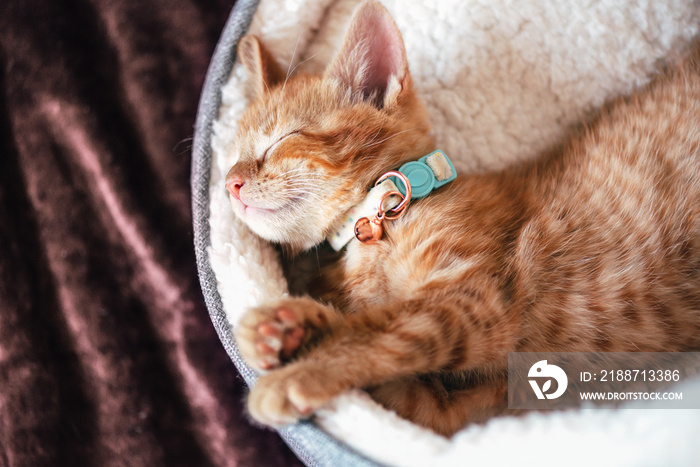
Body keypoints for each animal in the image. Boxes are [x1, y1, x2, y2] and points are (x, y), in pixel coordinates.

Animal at [223, 1, 700, 436]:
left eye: (282, 139)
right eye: (234, 156)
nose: (229, 182)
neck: (382, 218)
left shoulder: (478, 302)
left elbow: (385, 331)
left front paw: (303, 371)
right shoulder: (461, 406)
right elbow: (393, 363)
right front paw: (294, 327)